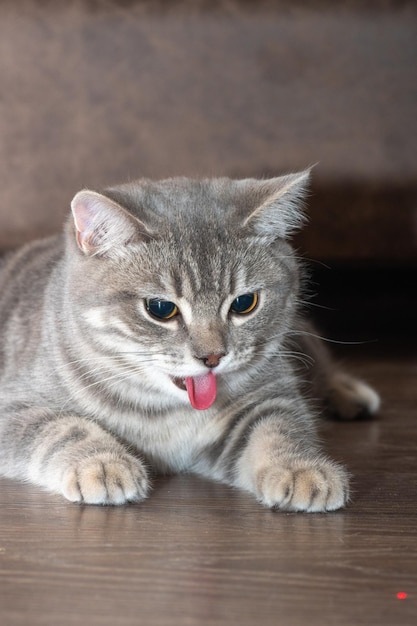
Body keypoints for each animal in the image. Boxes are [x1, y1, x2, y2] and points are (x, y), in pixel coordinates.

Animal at [0, 169, 376, 508]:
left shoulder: (269, 395)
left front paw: (302, 469)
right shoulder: (13, 405)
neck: (167, 411)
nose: (213, 357)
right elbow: (65, 427)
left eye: (244, 303)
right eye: (161, 308)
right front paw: (103, 464)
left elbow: (279, 429)